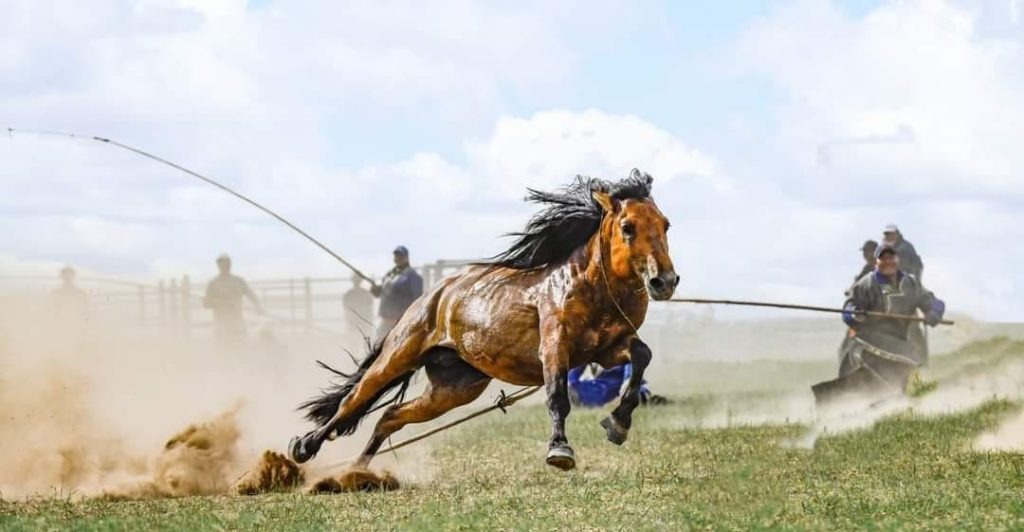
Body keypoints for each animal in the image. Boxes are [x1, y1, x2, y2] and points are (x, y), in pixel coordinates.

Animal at [288, 169, 675, 470]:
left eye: (665, 225)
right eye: (627, 227)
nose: (665, 281)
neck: (588, 284)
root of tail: (430, 296)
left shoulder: (605, 350)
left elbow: (642, 356)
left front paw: (618, 423)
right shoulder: (555, 346)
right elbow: (557, 396)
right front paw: (560, 450)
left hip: (454, 388)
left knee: (389, 416)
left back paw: (357, 470)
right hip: (398, 357)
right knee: (351, 403)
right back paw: (304, 447)